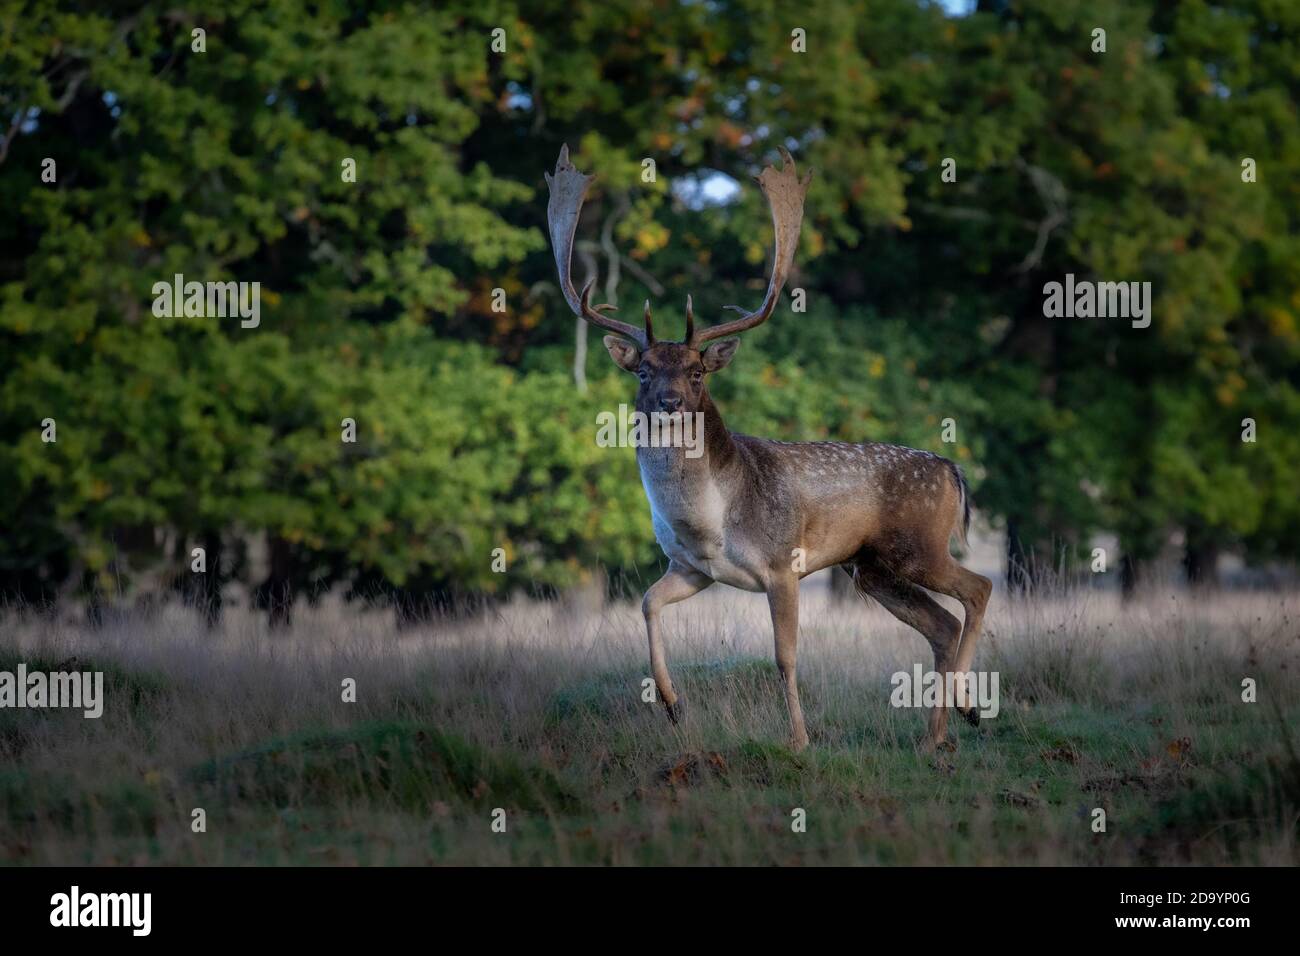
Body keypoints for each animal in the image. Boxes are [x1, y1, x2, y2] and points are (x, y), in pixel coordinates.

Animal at [544, 144, 992, 753]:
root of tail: (952, 469)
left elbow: (785, 657)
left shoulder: (782, 564)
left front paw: (799, 740)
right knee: (942, 624)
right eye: (642, 371)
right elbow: (646, 601)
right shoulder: (693, 569)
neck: (708, 520)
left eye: (696, 371)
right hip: (872, 568)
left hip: (917, 545)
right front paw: (673, 704)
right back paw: (936, 736)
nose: (667, 403)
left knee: (979, 587)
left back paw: (969, 710)